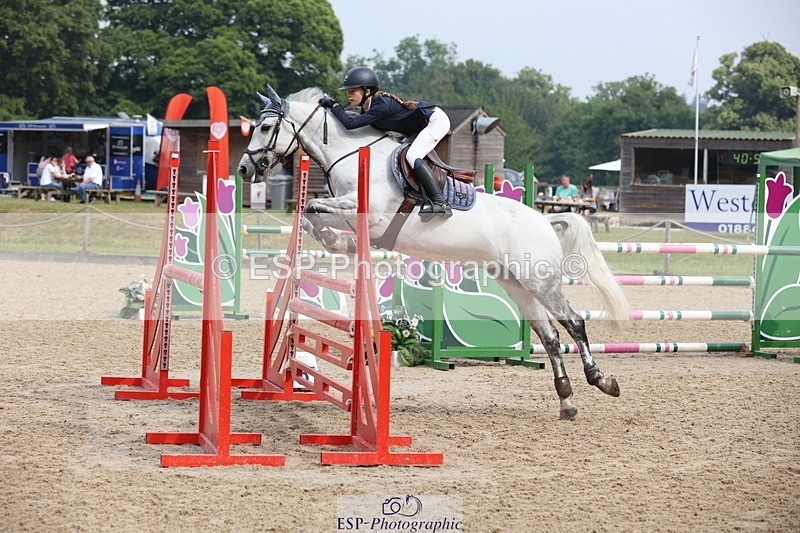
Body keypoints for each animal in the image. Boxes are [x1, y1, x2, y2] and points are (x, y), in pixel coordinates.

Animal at [237, 86, 629, 420]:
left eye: (267, 126)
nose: (243, 169)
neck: (349, 154)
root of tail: (546, 219)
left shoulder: (366, 211)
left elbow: (313, 206)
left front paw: (337, 241)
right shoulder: (351, 213)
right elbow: (310, 214)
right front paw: (336, 242)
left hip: (540, 281)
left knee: (573, 323)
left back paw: (602, 380)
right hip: (517, 285)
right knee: (549, 336)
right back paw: (566, 401)